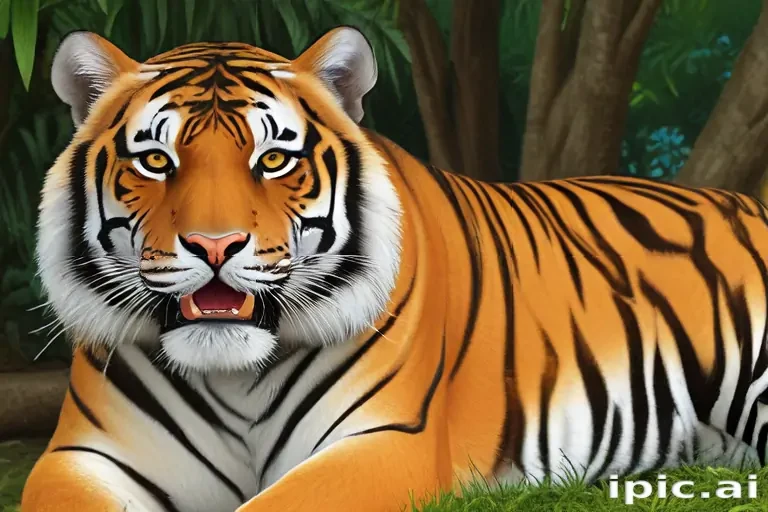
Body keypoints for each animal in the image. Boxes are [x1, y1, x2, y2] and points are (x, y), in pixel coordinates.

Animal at [20, 25, 768, 512]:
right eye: (155, 160)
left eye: (273, 159)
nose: (215, 245)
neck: (233, 376)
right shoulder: (86, 456)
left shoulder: (382, 441)